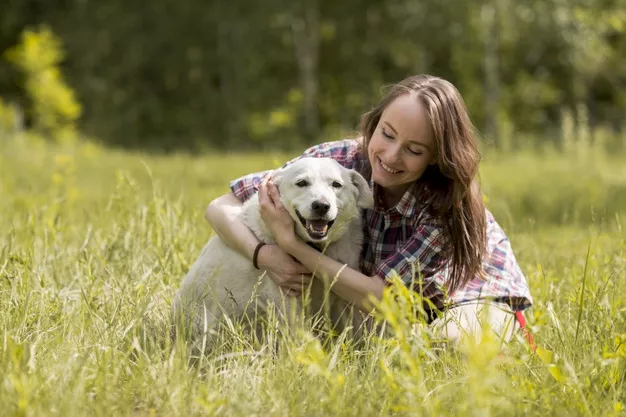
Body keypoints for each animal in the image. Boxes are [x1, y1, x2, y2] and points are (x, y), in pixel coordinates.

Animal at [171, 157, 372, 342]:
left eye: (336, 184)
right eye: (302, 183)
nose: (321, 205)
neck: (317, 248)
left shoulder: (343, 301)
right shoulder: (287, 300)